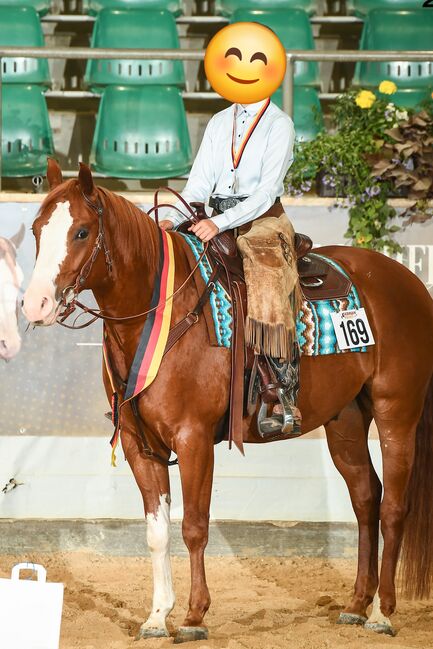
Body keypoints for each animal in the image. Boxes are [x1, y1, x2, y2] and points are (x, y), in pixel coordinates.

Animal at [23, 161, 432, 636]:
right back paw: (356, 604)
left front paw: (195, 615)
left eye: (82, 232)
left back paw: (383, 612)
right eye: (36, 229)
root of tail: (409, 283)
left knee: (394, 507)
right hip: (345, 420)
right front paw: (157, 616)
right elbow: (157, 532)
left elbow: (195, 527)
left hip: (396, 413)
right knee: (367, 499)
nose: (36, 304)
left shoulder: (194, 438)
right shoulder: (139, 445)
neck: (162, 307)